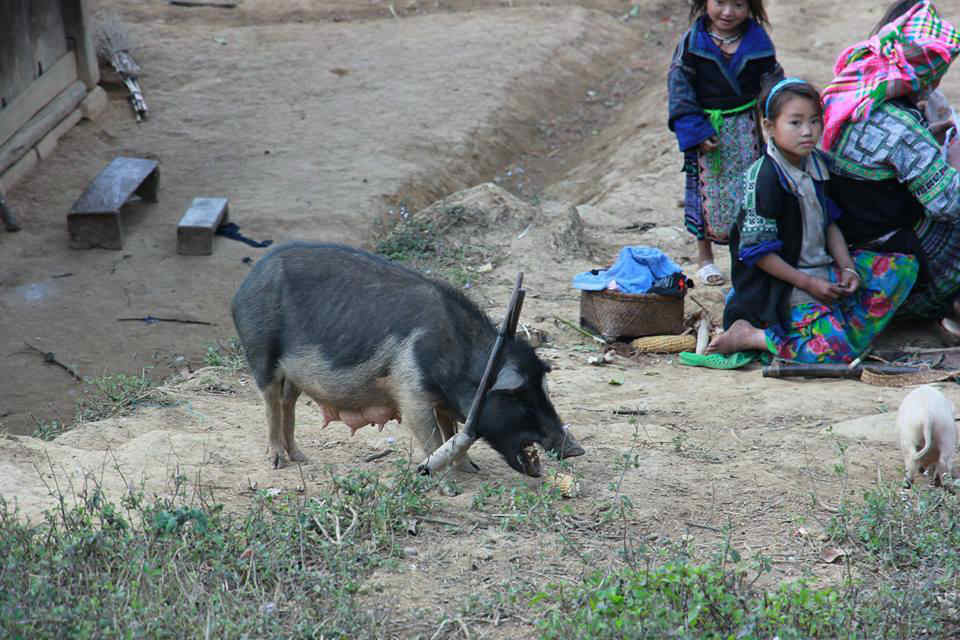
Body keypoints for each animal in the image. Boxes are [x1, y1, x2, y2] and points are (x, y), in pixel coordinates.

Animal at [231, 242, 584, 478]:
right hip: (261, 351)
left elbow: (450, 431)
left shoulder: (443, 402)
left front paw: (471, 468)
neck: (458, 357)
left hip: (293, 374)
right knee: (270, 402)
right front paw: (447, 479)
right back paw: (278, 462)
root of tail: (244, 285)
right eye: (519, 398)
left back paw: (301, 458)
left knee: (287, 402)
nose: (575, 449)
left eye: (545, 391)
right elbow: (433, 437)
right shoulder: (410, 390)